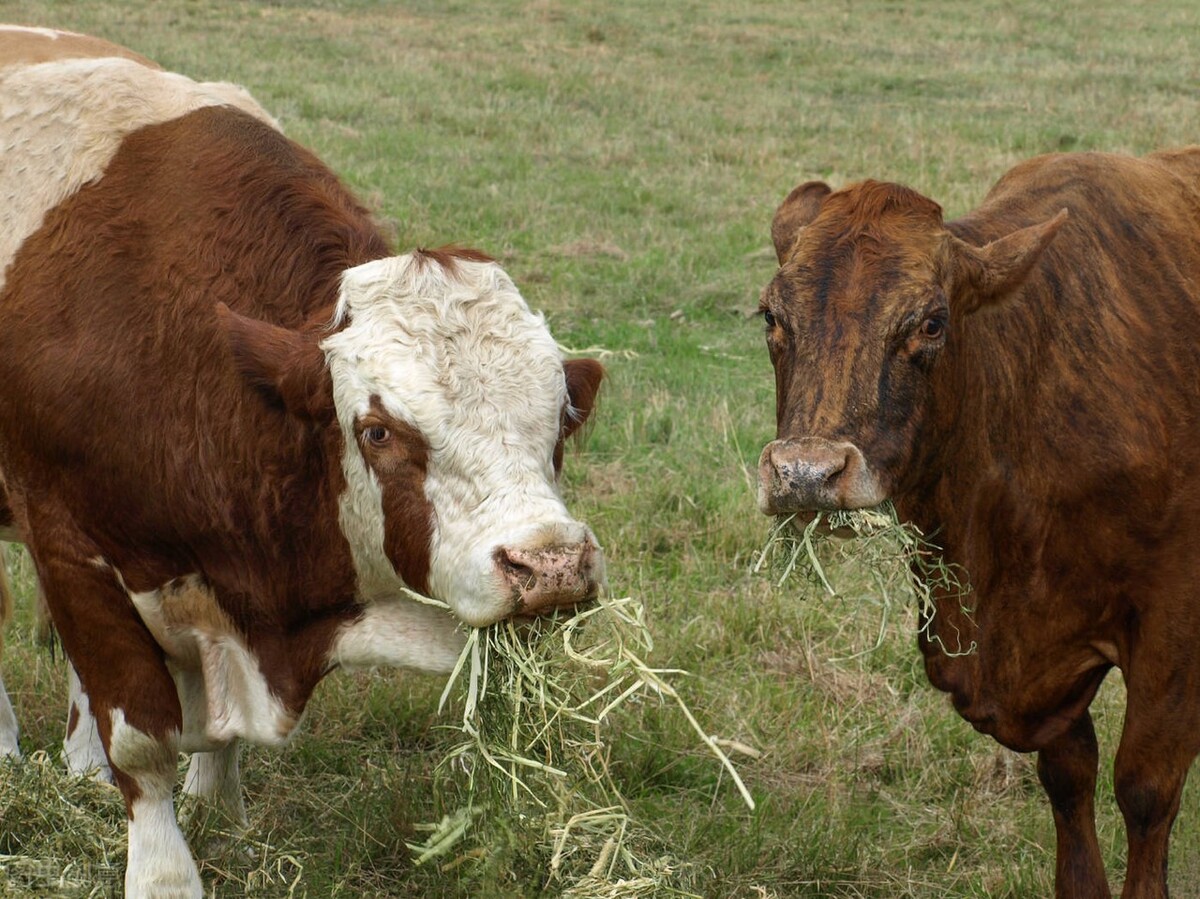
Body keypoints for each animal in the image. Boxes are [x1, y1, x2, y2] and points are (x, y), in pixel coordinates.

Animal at [0, 24, 600, 892]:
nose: (551, 564)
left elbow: (209, 736)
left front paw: (220, 809)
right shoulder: (70, 546)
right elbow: (142, 743)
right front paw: (164, 869)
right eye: (377, 431)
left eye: (560, 421)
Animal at [758, 148, 1200, 897]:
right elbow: (1069, 776)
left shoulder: (1173, 625)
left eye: (931, 322)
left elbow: (1145, 789)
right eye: (769, 318)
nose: (806, 473)